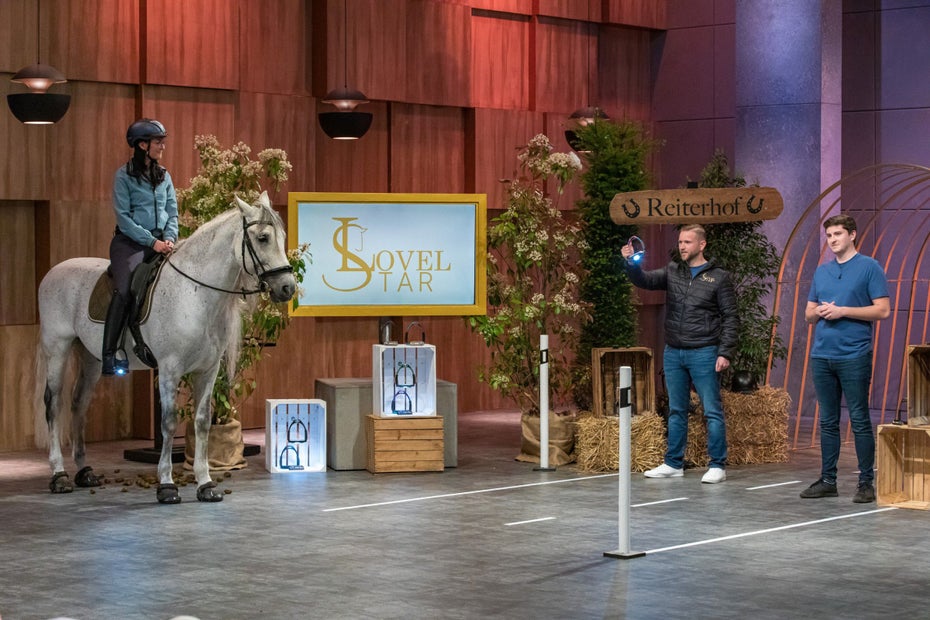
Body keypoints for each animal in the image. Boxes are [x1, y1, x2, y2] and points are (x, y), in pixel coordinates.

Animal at [36, 193, 294, 504]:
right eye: (263, 238)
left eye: (282, 237)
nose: (287, 287)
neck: (194, 294)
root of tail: (53, 271)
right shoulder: (170, 369)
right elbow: (169, 423)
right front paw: (167, 484)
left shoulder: (208, 370)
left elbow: (202, 422)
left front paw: (206, 484)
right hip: (57, 349)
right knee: (54, 404)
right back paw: (59, 475)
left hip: (91, 358)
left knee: (79, 404)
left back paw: (84, 471)